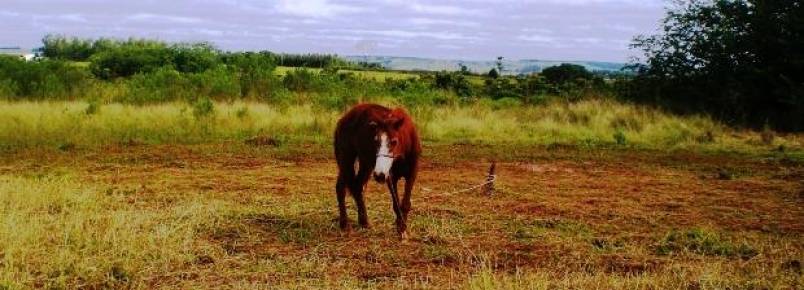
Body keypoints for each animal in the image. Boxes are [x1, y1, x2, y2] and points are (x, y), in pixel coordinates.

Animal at [332, 103, 420, 237]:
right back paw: (345, 224)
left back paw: (364, 222)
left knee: (357, 186)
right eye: (376, 142)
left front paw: (402, 228)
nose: (379, 175)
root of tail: (343, 119)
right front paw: (401, 227)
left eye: (394, 141)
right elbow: (396, 204)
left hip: (366, 164)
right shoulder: (391, 176)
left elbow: (405, 203)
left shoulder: (411, 174)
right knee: (341, 187)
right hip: (346, 159)